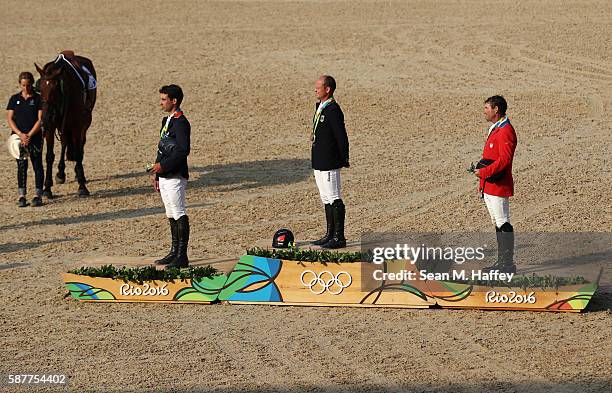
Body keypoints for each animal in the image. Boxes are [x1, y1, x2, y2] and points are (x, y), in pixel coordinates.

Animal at [34, 52, 96, 196]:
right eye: (40, 88)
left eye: (54, 89)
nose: (45, 117)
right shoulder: (50, 128)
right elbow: (49, 156)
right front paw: (47, 188)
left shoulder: (78, 126)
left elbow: (78, 152)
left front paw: (82, 186)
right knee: (64, 142)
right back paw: (61, 173)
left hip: (84, 123)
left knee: (80, 144)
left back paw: (78, 174)